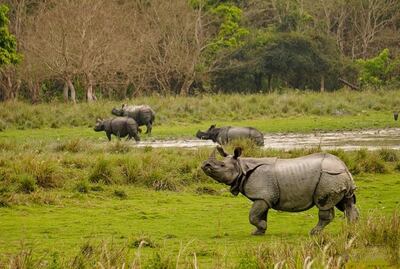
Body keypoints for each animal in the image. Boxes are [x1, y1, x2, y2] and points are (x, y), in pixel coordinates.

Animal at [203, 147, 360, 234]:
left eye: (222, 165)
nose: (204, 165)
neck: (242, 167)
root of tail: (344, 166)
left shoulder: (263, 196)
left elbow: (252, 216)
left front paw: (261, 227)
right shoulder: (264, 196)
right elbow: (260, 215)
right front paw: (259, 231)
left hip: (328, 176)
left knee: (324, 205)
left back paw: (314, 233)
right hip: (337, 176)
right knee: (347, 203)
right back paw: (351, 231)